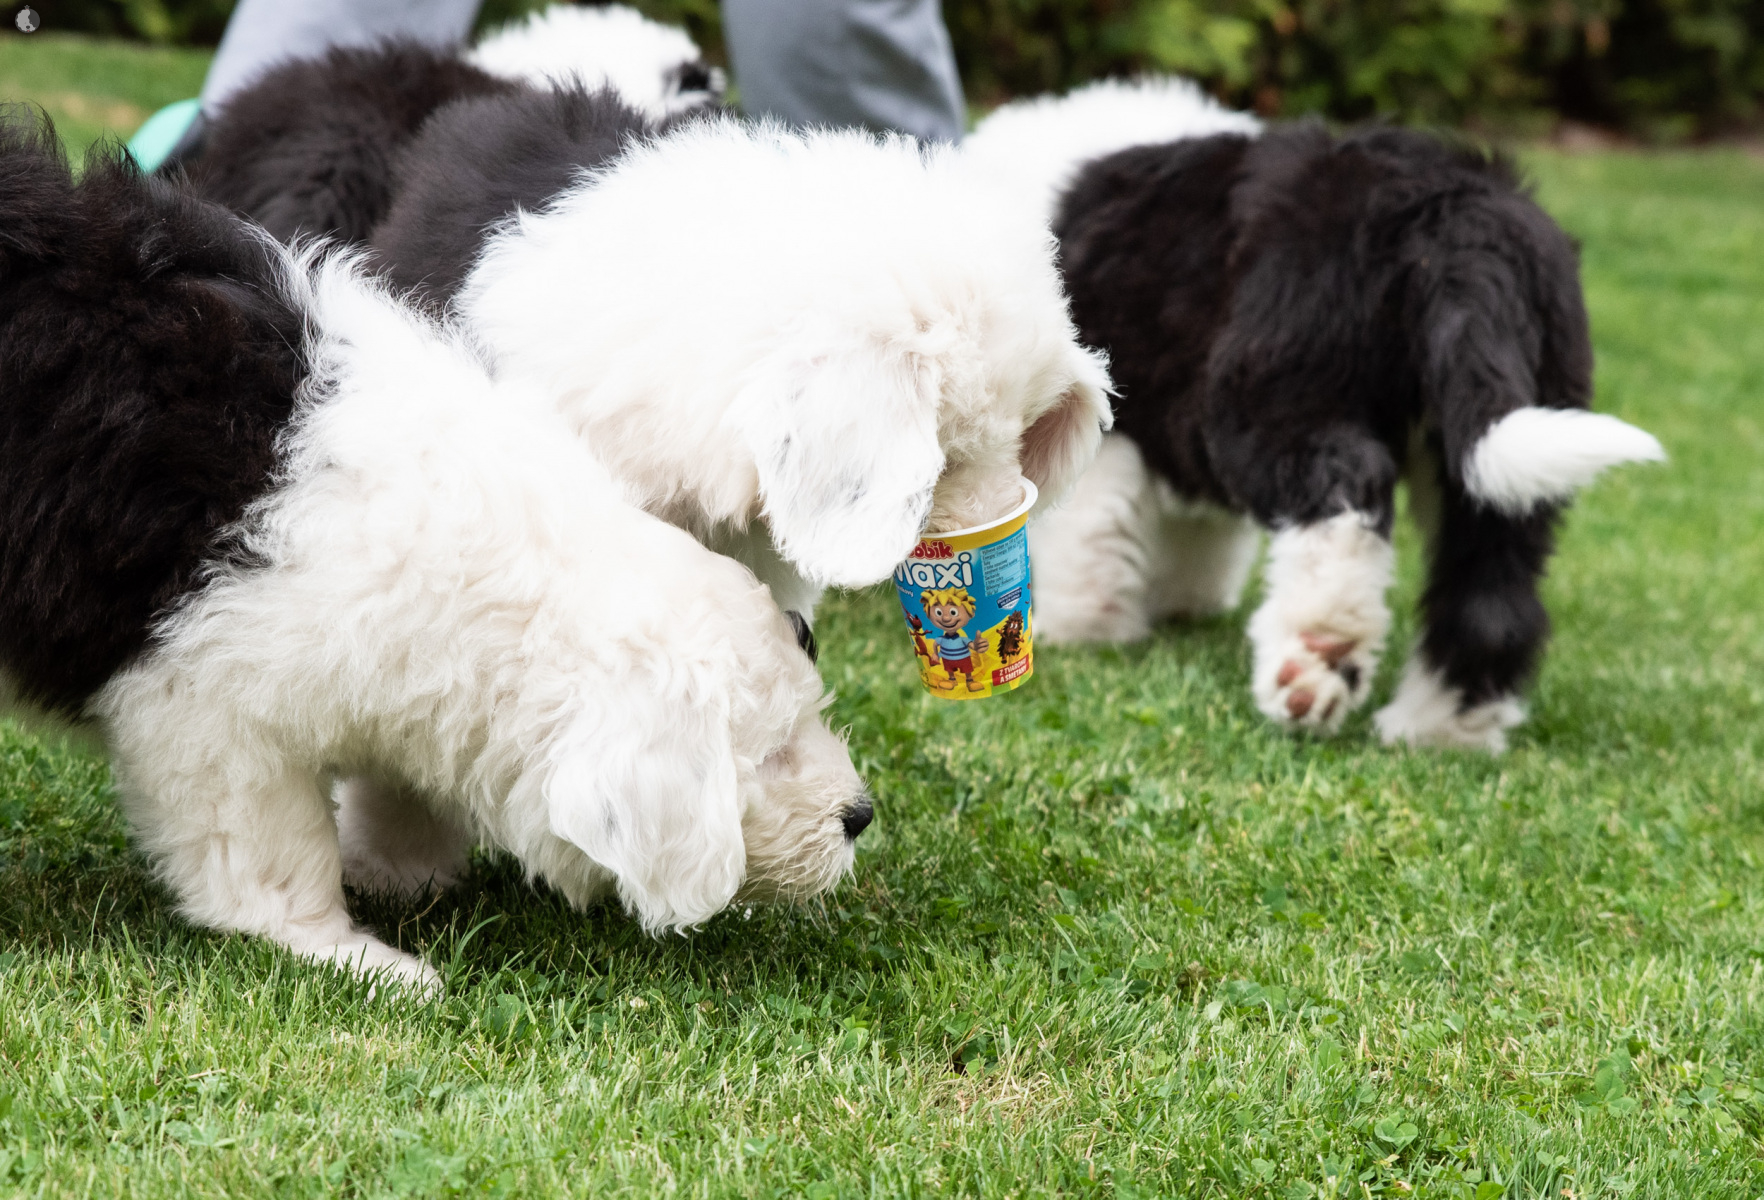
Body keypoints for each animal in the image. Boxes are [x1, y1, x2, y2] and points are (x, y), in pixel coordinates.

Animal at [966, 83, 1664, 751]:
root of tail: (1454, 211)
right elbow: (1195, 534)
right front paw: (1182, 602)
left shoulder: (1108, 426)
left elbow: (1089, 531)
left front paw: (1082, 630)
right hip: (1508, 432)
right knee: (1492, 584)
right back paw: (1438, 730)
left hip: (1277, 397)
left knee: (1341, 505)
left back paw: (1313, 665)